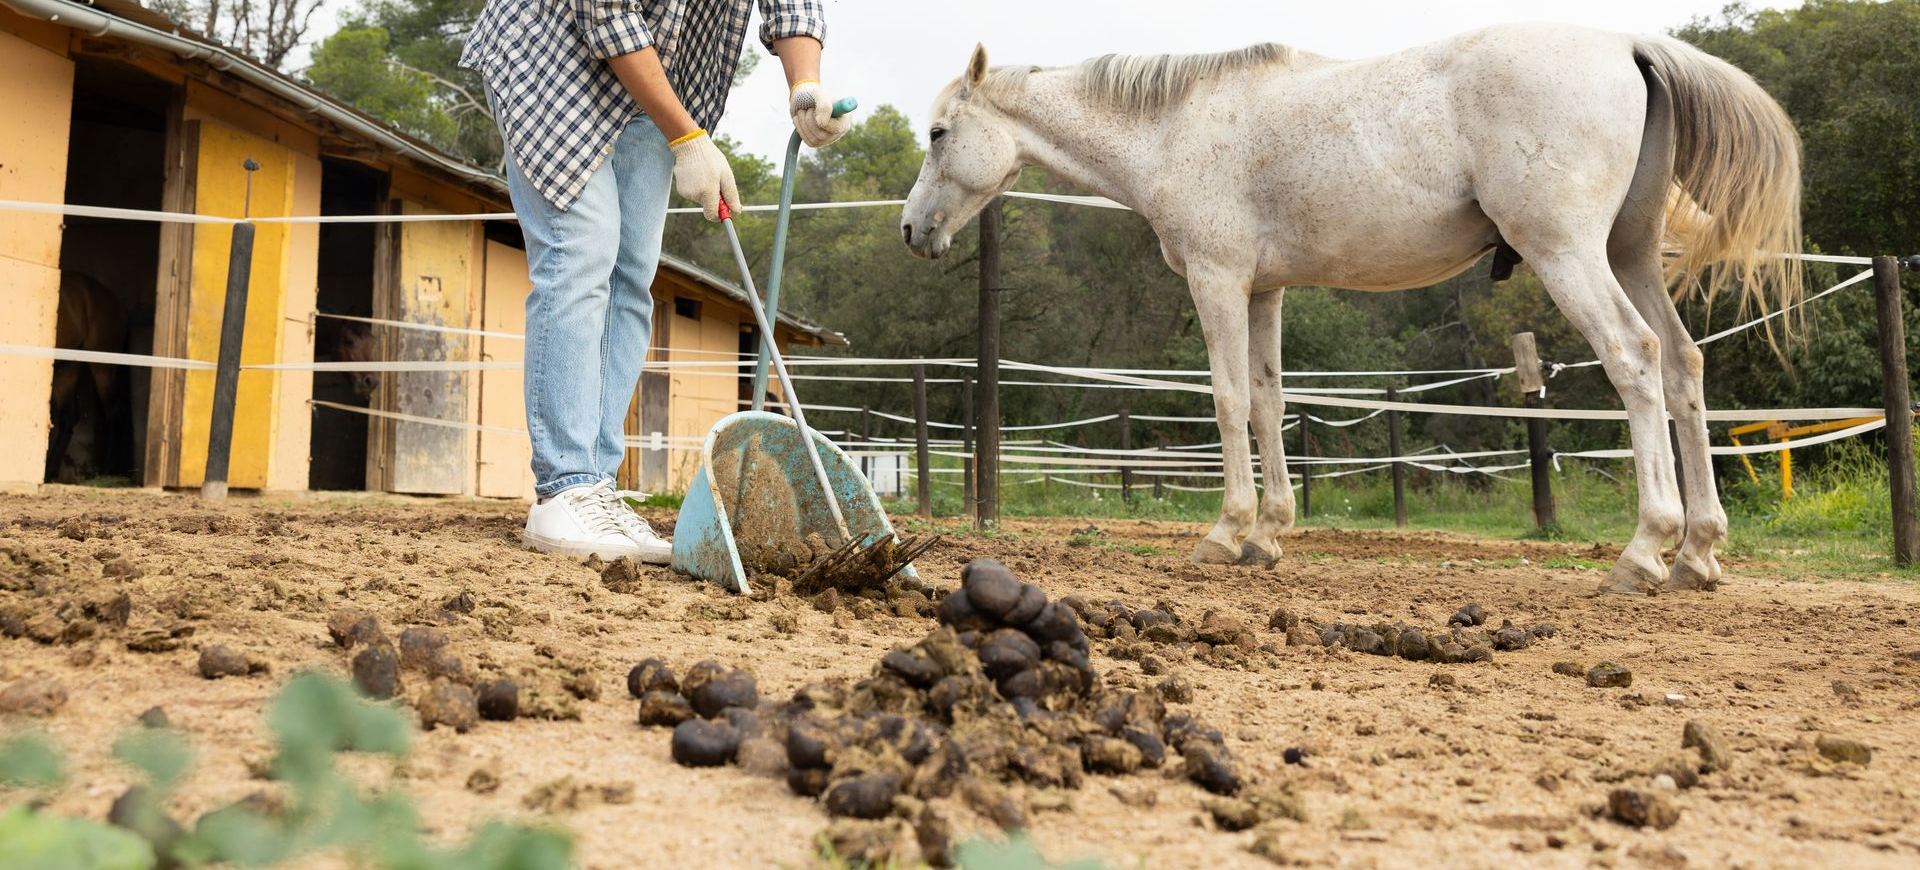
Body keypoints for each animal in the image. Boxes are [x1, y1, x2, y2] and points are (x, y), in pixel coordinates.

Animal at [899, 23, 1803, 595]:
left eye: (940, 133)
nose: (911, 230)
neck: (1174, 128)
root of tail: (1628, 45)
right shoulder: (1264, 292)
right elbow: (1268, 405)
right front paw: (1268, 536)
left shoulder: (1217, 282)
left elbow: (1226, 403)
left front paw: (1224, 534)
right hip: (1628, 254)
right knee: (1683, 366)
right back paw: (1697, 555)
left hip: (1570, 255)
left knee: (1635, 358)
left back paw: (1645, 551)